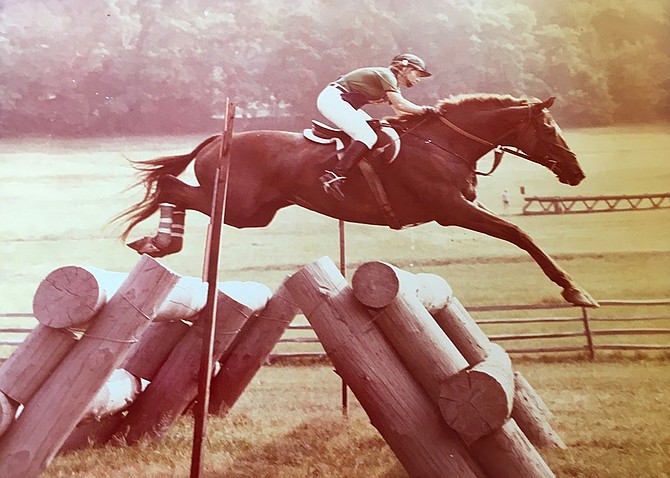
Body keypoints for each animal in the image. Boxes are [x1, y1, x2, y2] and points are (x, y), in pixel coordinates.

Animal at [113, 93, 600, 308]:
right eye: (550, 128)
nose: (577, 171)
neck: (445, 144)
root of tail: (219, 138)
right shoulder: (452, 210)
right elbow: (519, 233)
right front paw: (574, 289)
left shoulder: (460, 208)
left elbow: (518, 233)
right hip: (238, 208)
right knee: (170, 187)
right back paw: (158, 242)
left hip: (253, 214)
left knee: (173, 189)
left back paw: (158, 243)